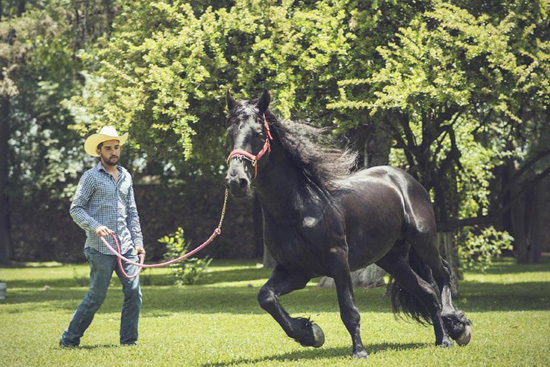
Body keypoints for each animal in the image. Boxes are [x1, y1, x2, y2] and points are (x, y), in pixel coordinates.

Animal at [224, 90, 474, 360]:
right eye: (230, 133)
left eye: (258, 133)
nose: (236, 181)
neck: (298, 208)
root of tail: (405, 179)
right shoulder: (295, 271)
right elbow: (266, 297)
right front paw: (309, 333)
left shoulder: (338, 262)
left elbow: (349, 311)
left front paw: (359, 352)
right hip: (392, 259)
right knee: (427, 291)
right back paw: (443, 339)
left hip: (423, 241)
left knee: (443, 274)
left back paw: (457, 327)